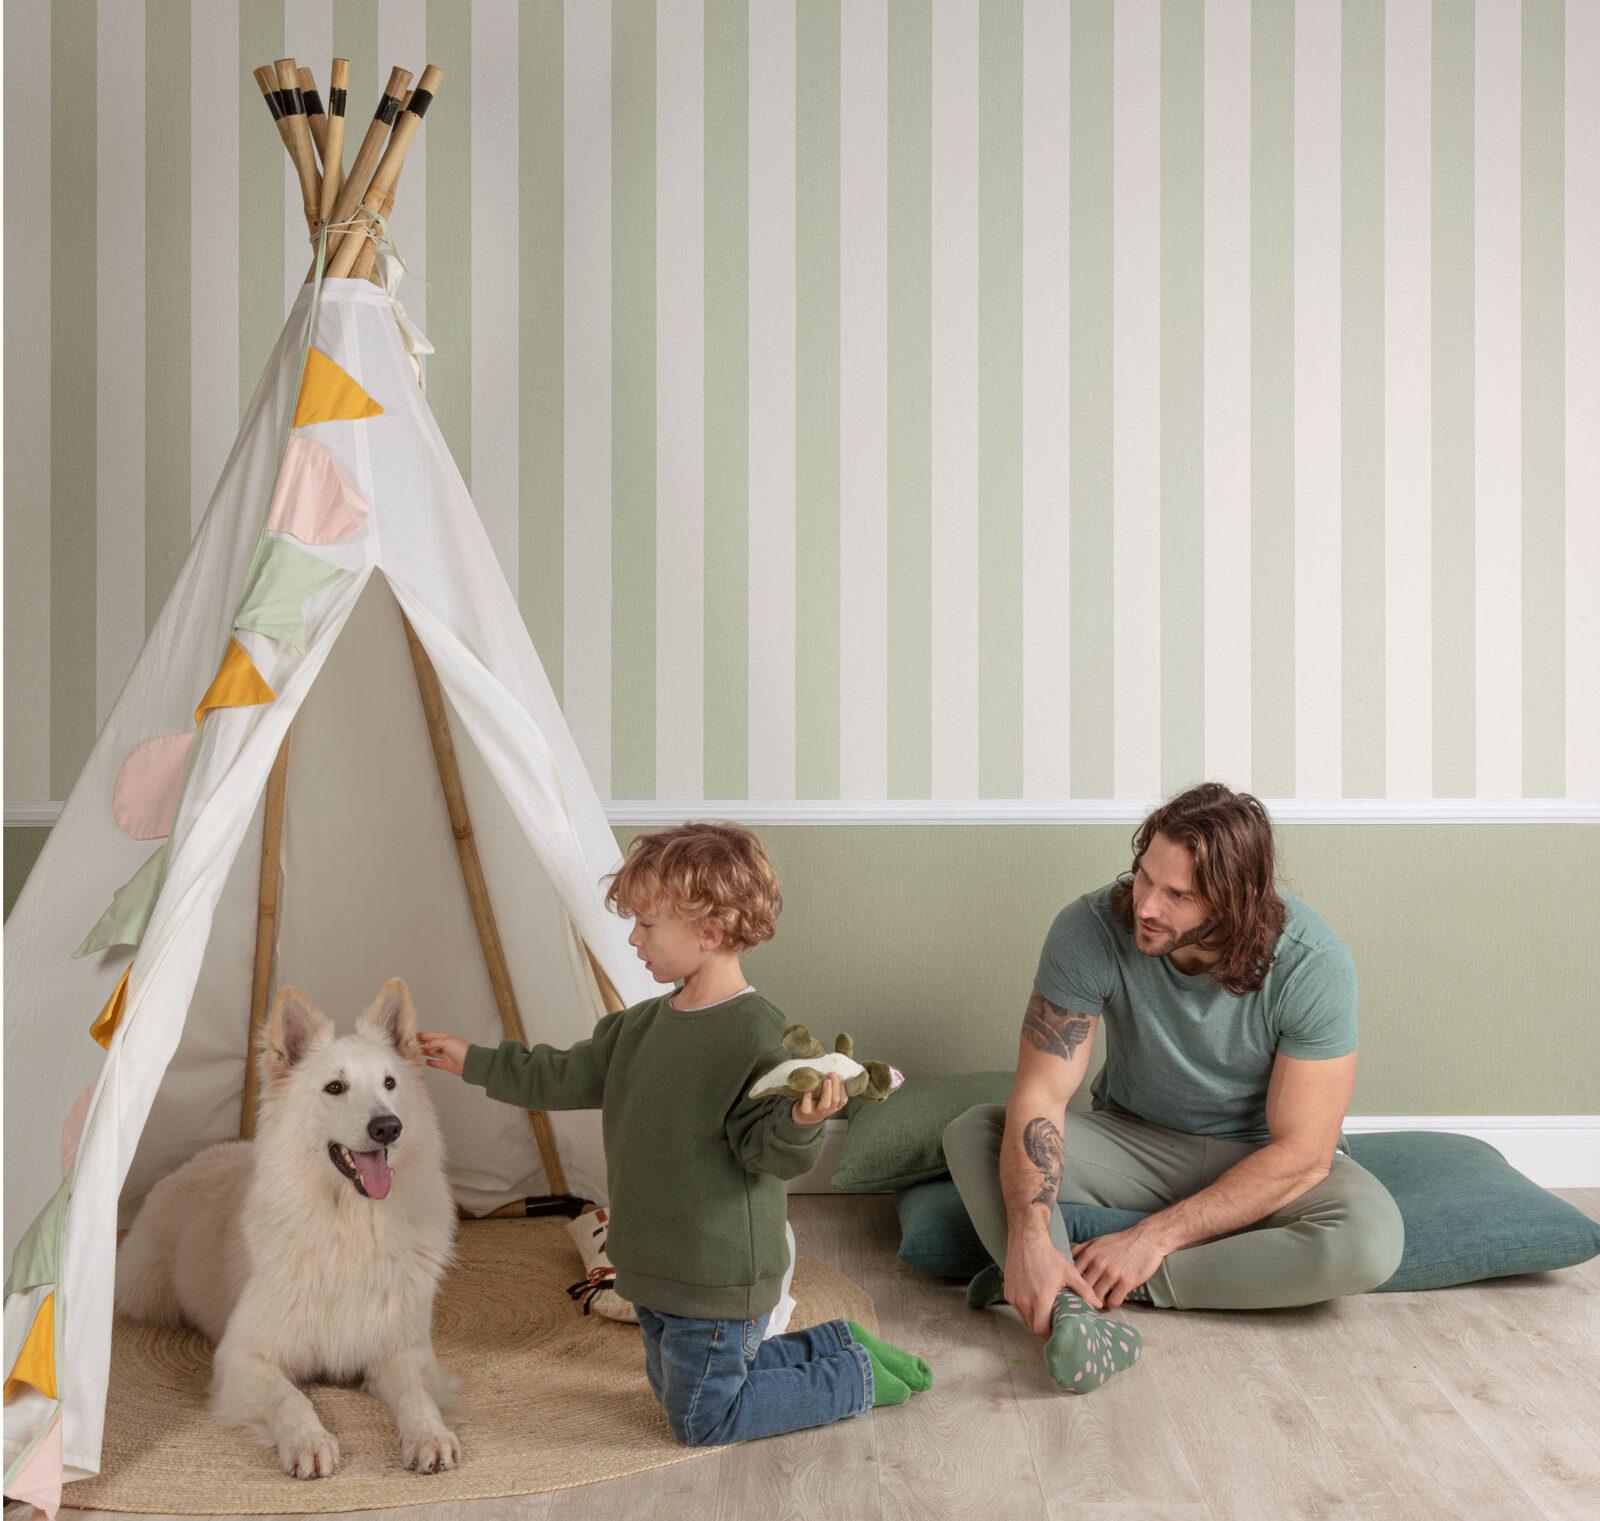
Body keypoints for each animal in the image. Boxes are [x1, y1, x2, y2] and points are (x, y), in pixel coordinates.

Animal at [111, 978, 464, 1477]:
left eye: (390, 1083)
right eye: (335, 1087)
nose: (388, 1127)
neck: (351, 1228)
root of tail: (205, 1155)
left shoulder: (402, 1351)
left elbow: (417, 1396)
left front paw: (429, 1435)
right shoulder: (243, 1357)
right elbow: (291, 1397)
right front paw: (308, 1441)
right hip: (147, 1290)